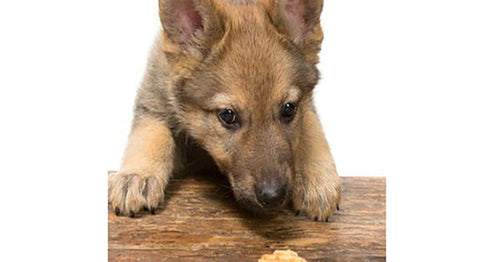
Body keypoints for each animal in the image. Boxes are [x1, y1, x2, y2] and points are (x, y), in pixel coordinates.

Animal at [108, 0, 340, 221]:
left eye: (289, 109)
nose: (273, 196)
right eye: (228, 116)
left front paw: (317, 180)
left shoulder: (307, 106)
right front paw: (137, 176)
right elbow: (152, 136)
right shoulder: (152, 103)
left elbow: (311, 130)